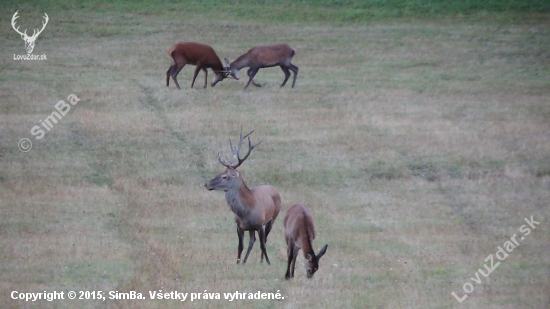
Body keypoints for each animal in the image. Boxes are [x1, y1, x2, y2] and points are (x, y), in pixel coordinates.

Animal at [203, 127, 282, 264]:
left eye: (225, 176)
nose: (206, 184)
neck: (245, 212)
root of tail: (274, 189)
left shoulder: (260, 224)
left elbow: (263, 245)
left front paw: (268, 262)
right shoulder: (239, 226)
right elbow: (240, 246)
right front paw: (238, 262)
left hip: (273, 218)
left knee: (264, 240)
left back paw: (261, 260)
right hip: (251, 228)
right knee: (252, 241)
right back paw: (245, 261)